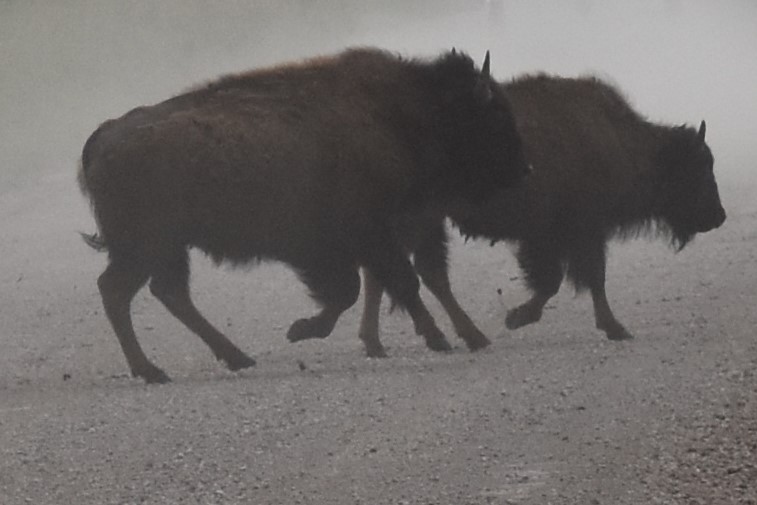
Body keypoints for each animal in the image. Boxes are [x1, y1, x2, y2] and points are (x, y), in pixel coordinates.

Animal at [78, 48, 529, 383]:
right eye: (494, 117)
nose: (524, 170)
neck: (400, 113)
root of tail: (104, 135)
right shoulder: (368, 236)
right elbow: (390, 285)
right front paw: (437, 339)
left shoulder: (360, 244)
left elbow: (361, 289)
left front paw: (303, 330)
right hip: (146, 248)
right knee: (120, 291)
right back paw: (154, 370)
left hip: (165, 250)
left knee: (163, 292)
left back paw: (234, 358)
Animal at [358, 74, 726, 357]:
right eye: (699, 167)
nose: (719, 216)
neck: (616, 140)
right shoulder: (571, 233)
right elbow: (571, 280)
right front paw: (521, 318)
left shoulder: (568, 237)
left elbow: (577, 279)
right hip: (419, 221)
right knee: (419, 273)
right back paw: (459, 338)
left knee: (396, 274)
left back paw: (380, 344)